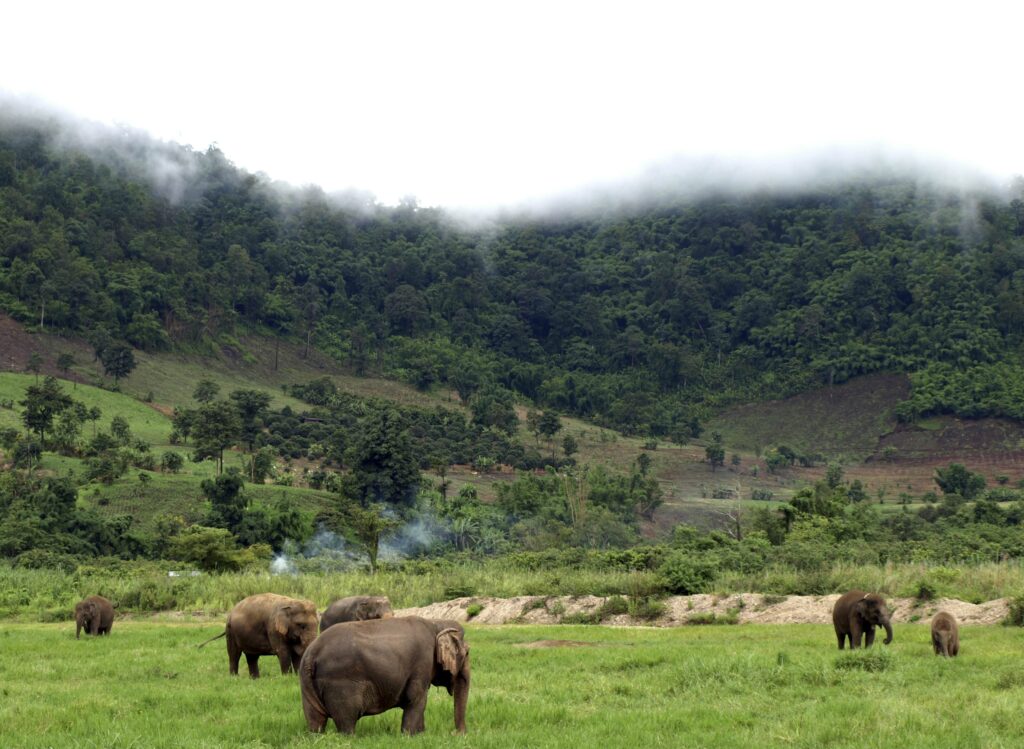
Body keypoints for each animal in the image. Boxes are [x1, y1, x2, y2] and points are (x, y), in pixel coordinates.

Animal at [299, 618, 468, 733]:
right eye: (467, 653)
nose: (456, 734)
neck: (436, 623)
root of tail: (312, 653)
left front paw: (421, 734)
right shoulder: (422, 663)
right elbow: (416, 699)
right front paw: (410, 736)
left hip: (306, 683)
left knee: (315, 719)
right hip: (340, 683)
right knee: (346, 720)